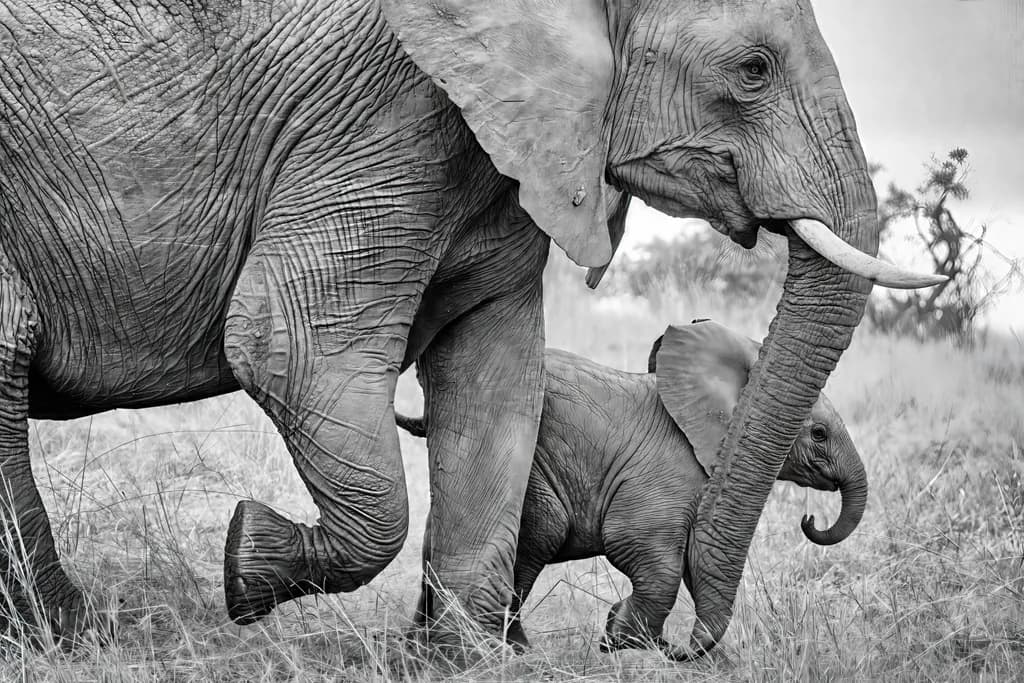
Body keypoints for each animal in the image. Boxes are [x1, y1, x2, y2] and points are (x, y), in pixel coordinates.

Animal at [396, 320, 867, 658]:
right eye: (820, 434)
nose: (810, 519)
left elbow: (696, 557)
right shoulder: (667, 470)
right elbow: (651, 554)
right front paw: (621, 643)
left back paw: (418, 648)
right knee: (541, 534)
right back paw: (518, 654)